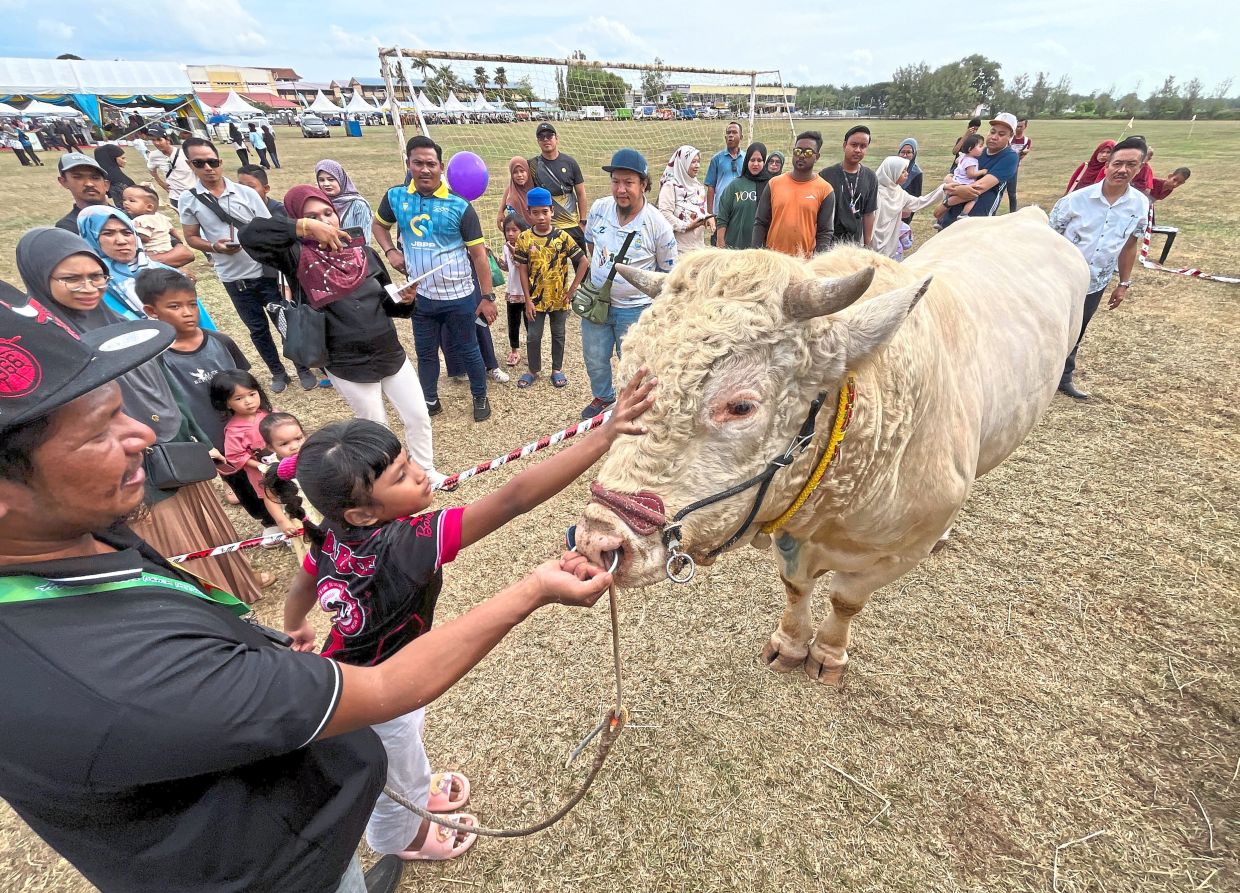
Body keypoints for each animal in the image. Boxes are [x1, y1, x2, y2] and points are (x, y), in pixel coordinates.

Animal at [574, 207, 1088, 684]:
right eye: (626, 381)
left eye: (741, 406)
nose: (598, 538)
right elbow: (796, 588)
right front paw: (790, 643)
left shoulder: (901, 552)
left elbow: (845, 598)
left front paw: (827, 653)